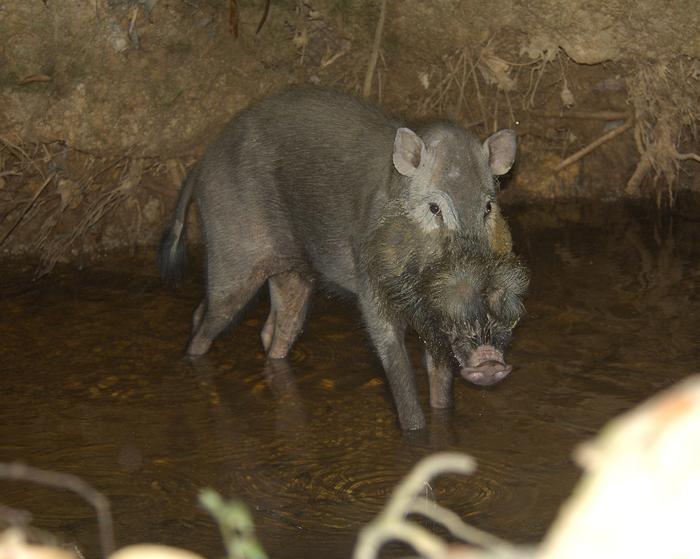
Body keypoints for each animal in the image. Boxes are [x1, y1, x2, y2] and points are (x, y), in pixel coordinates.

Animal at [158, 88, 529, 430]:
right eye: (434, 207)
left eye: (488, 206)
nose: (489, 361)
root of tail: (201, 164)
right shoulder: (370, 287)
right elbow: (397, 367)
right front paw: (414, 428)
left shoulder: (434, 320)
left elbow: (442, 382)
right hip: (232, 254)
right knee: (204, 322)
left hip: (294, 273)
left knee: (276, 329)